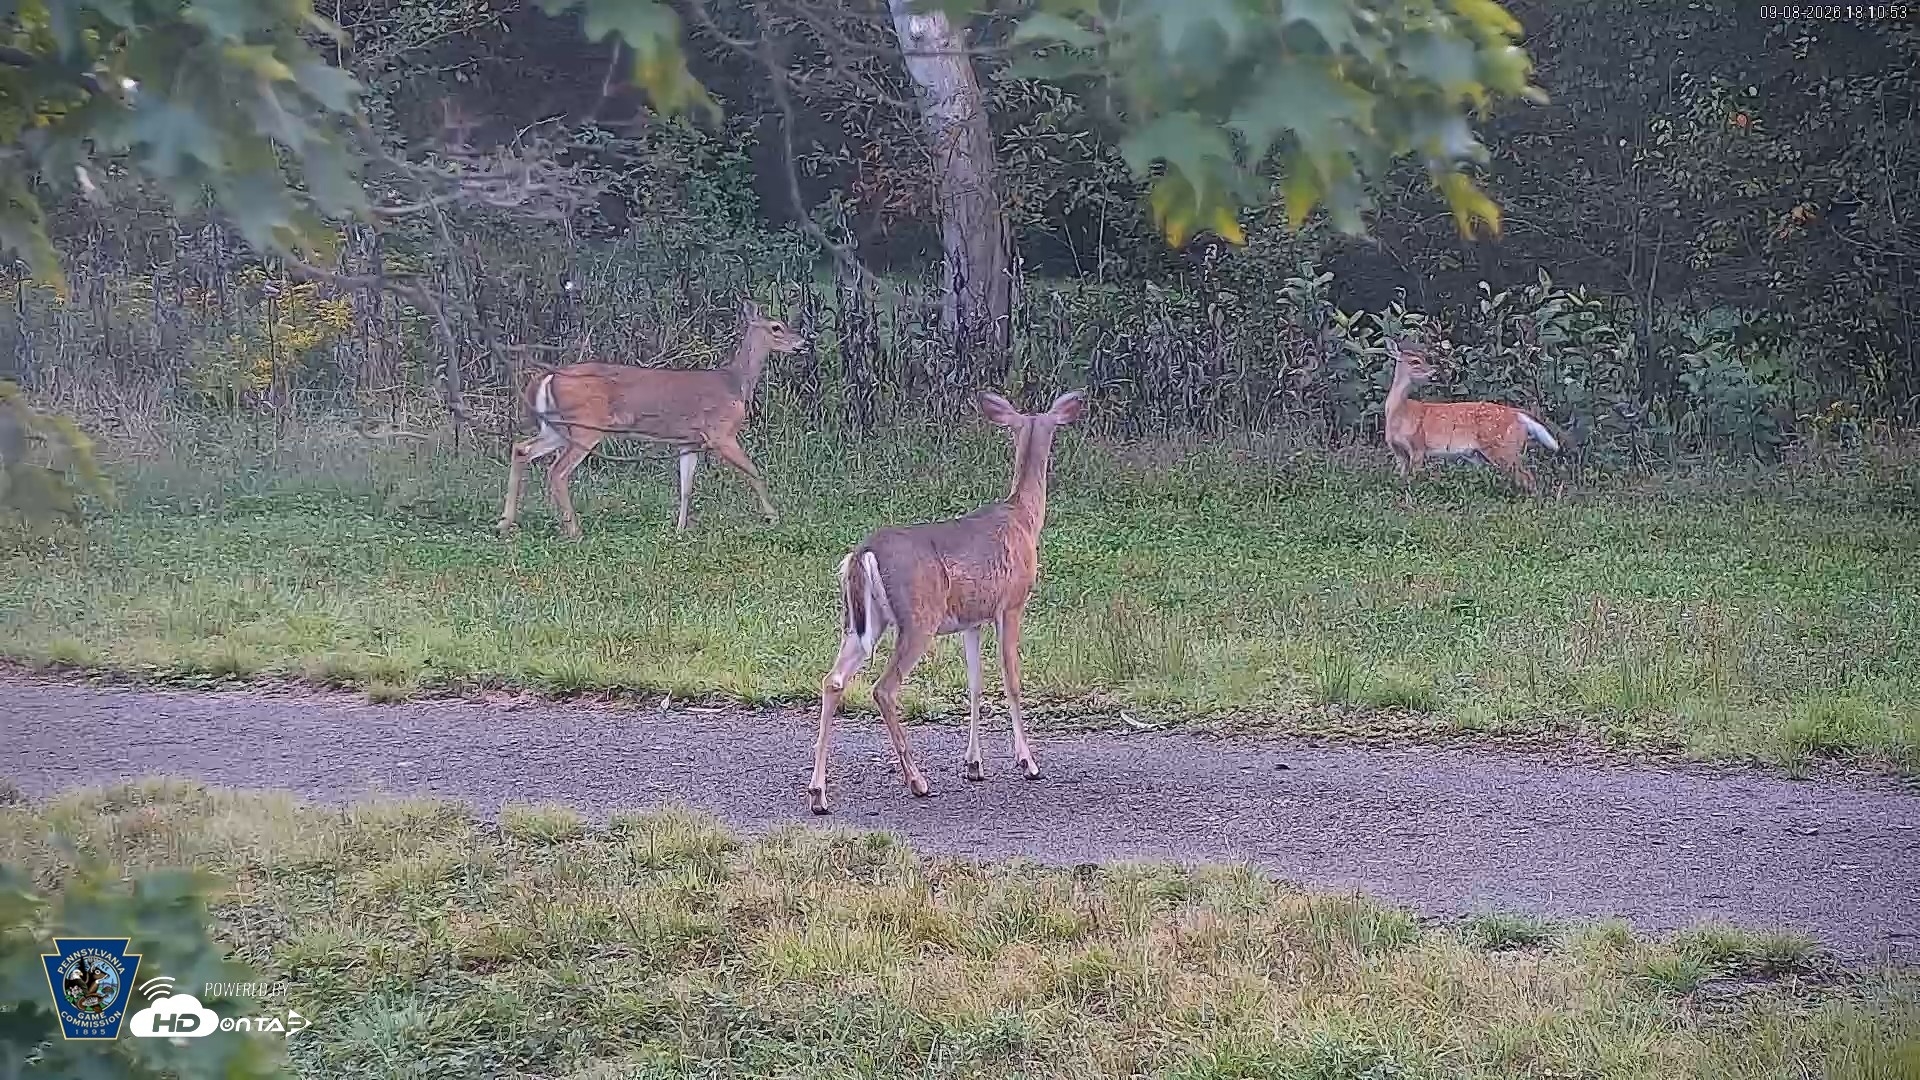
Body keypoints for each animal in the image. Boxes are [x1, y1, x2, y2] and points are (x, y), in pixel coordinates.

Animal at [495, 300, 807, 540]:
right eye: (776, 326)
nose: (803, 343)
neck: (736, 384)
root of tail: (547, 377)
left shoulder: (689, 441)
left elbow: (686, 486)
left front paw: (680, 529)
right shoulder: (721, 434)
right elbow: (754, 473)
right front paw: (774, 517)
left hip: (557, 427)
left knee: (521, 449)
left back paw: (505, 522)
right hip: (584, 427)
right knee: (557, 471)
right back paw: (574, 530)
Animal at [809, 389, 1088, 815]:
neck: (1024, 518)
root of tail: (863, 553)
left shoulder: (971, 620)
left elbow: (975, 684)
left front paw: (974, 765)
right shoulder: (1011, 604)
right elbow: (1011, 678)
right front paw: (1027, 761)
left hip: (861, 622)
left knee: (833, 680)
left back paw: (818, 794)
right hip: (918, 618)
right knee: (883, 688)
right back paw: (917, 781)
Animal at [1383, 338, 1560, 497]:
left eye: (1424, 359)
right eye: (1414, 361)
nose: (1433, 372)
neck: (1400, 414)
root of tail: (1517, 414)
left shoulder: (1418, 445)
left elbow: (1415, 477)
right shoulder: (1398, 450)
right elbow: (1402, 477)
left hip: (1504, 448)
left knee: (1527, 477)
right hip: (1481, 454)